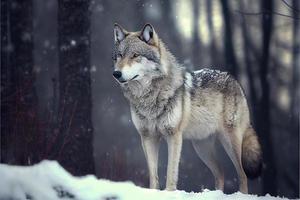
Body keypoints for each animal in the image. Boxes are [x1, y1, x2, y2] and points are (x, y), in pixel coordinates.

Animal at [111, 23, 262, 194]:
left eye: (135, 55)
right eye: (119, 55)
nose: (116, 73)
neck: (149, 97)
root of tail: (234, 80)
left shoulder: (173, 135)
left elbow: (171, 171)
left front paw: (169, 193)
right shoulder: (147, 137)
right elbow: (153, 175)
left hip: (230, 141)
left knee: (242, 174)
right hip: (201, 147)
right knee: (221, 172)